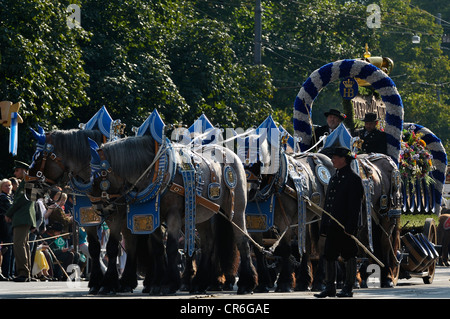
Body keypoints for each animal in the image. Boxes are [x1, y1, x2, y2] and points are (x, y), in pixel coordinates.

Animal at [25, 127, 142, 296]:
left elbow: (112, 248)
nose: (27, 188)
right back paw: (128, 282)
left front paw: (108, 284)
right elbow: (94, 248)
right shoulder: (87, 217)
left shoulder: (116, 217)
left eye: (39, 157)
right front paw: (96, 282)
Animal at [88, 132, 258, 296]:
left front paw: (169, 284)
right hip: (203, 214)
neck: (155, 171)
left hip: (236, 210)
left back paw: (246, 283)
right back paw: (199, 283)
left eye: (99, 176)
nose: (99, 208)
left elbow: (171, 247)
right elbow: (158, 248)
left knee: (242, 241)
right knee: (208, 244)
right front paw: (157, 284)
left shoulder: (173, 215)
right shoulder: (153, 217)